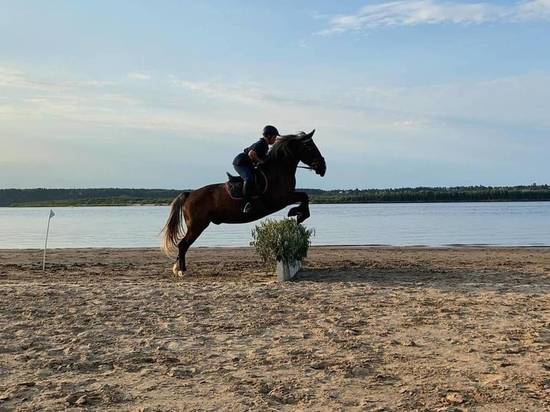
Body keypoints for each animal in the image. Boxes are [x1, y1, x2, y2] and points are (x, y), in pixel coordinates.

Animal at [164, 130, 328, 276]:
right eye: (310, 147)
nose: (323, 167)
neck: (278, 170)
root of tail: (189, 194)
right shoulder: (280, 199)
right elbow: (304, 196)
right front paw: (298, 214)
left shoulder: (285, 198)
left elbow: (304, 197)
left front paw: (298, 214)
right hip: (197, 225)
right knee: (183, 244)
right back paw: (181, 271)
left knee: (183, 245)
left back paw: (177, 268)